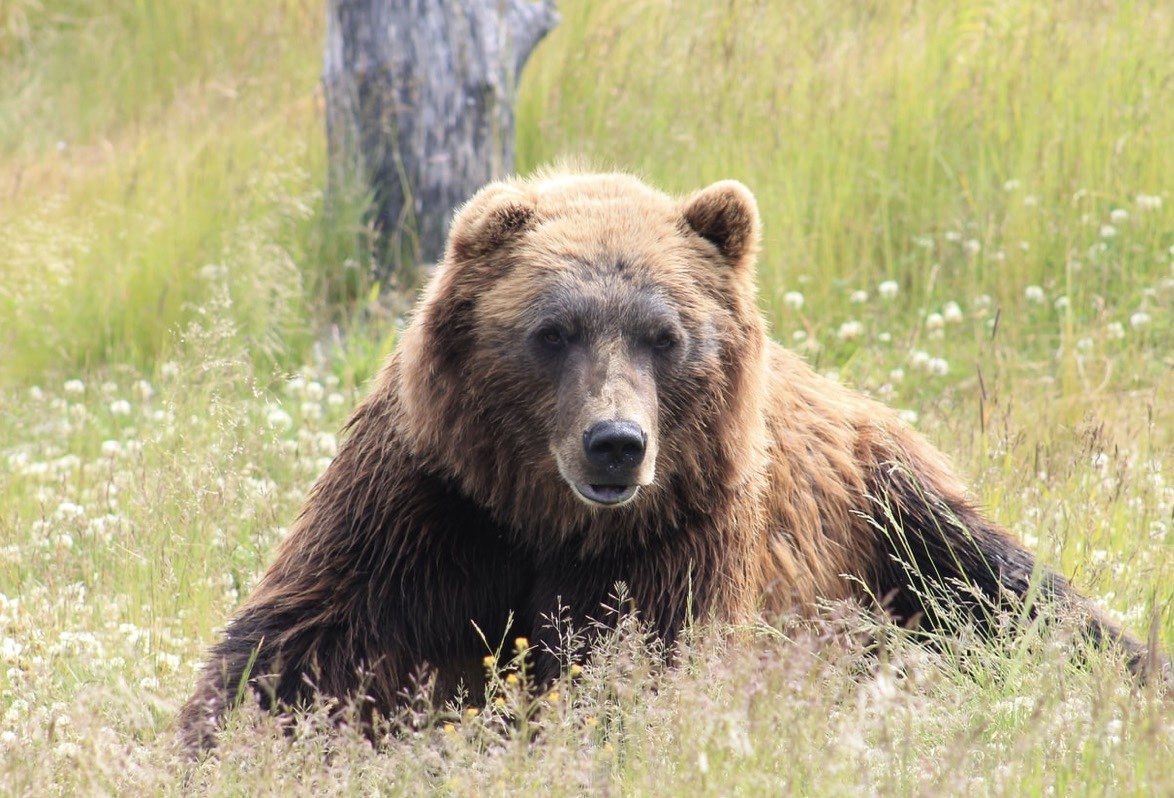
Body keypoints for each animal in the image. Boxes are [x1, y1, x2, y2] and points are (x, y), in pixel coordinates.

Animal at [178, 171, 1159, 751]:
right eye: (553, 330)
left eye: (665, 335)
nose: (616, 442)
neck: (547, 520)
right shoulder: (430, 504)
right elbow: (303, 646)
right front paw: (224, 740)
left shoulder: (678, 536)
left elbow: (637, 672)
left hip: (893, 515)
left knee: (1015, 595)